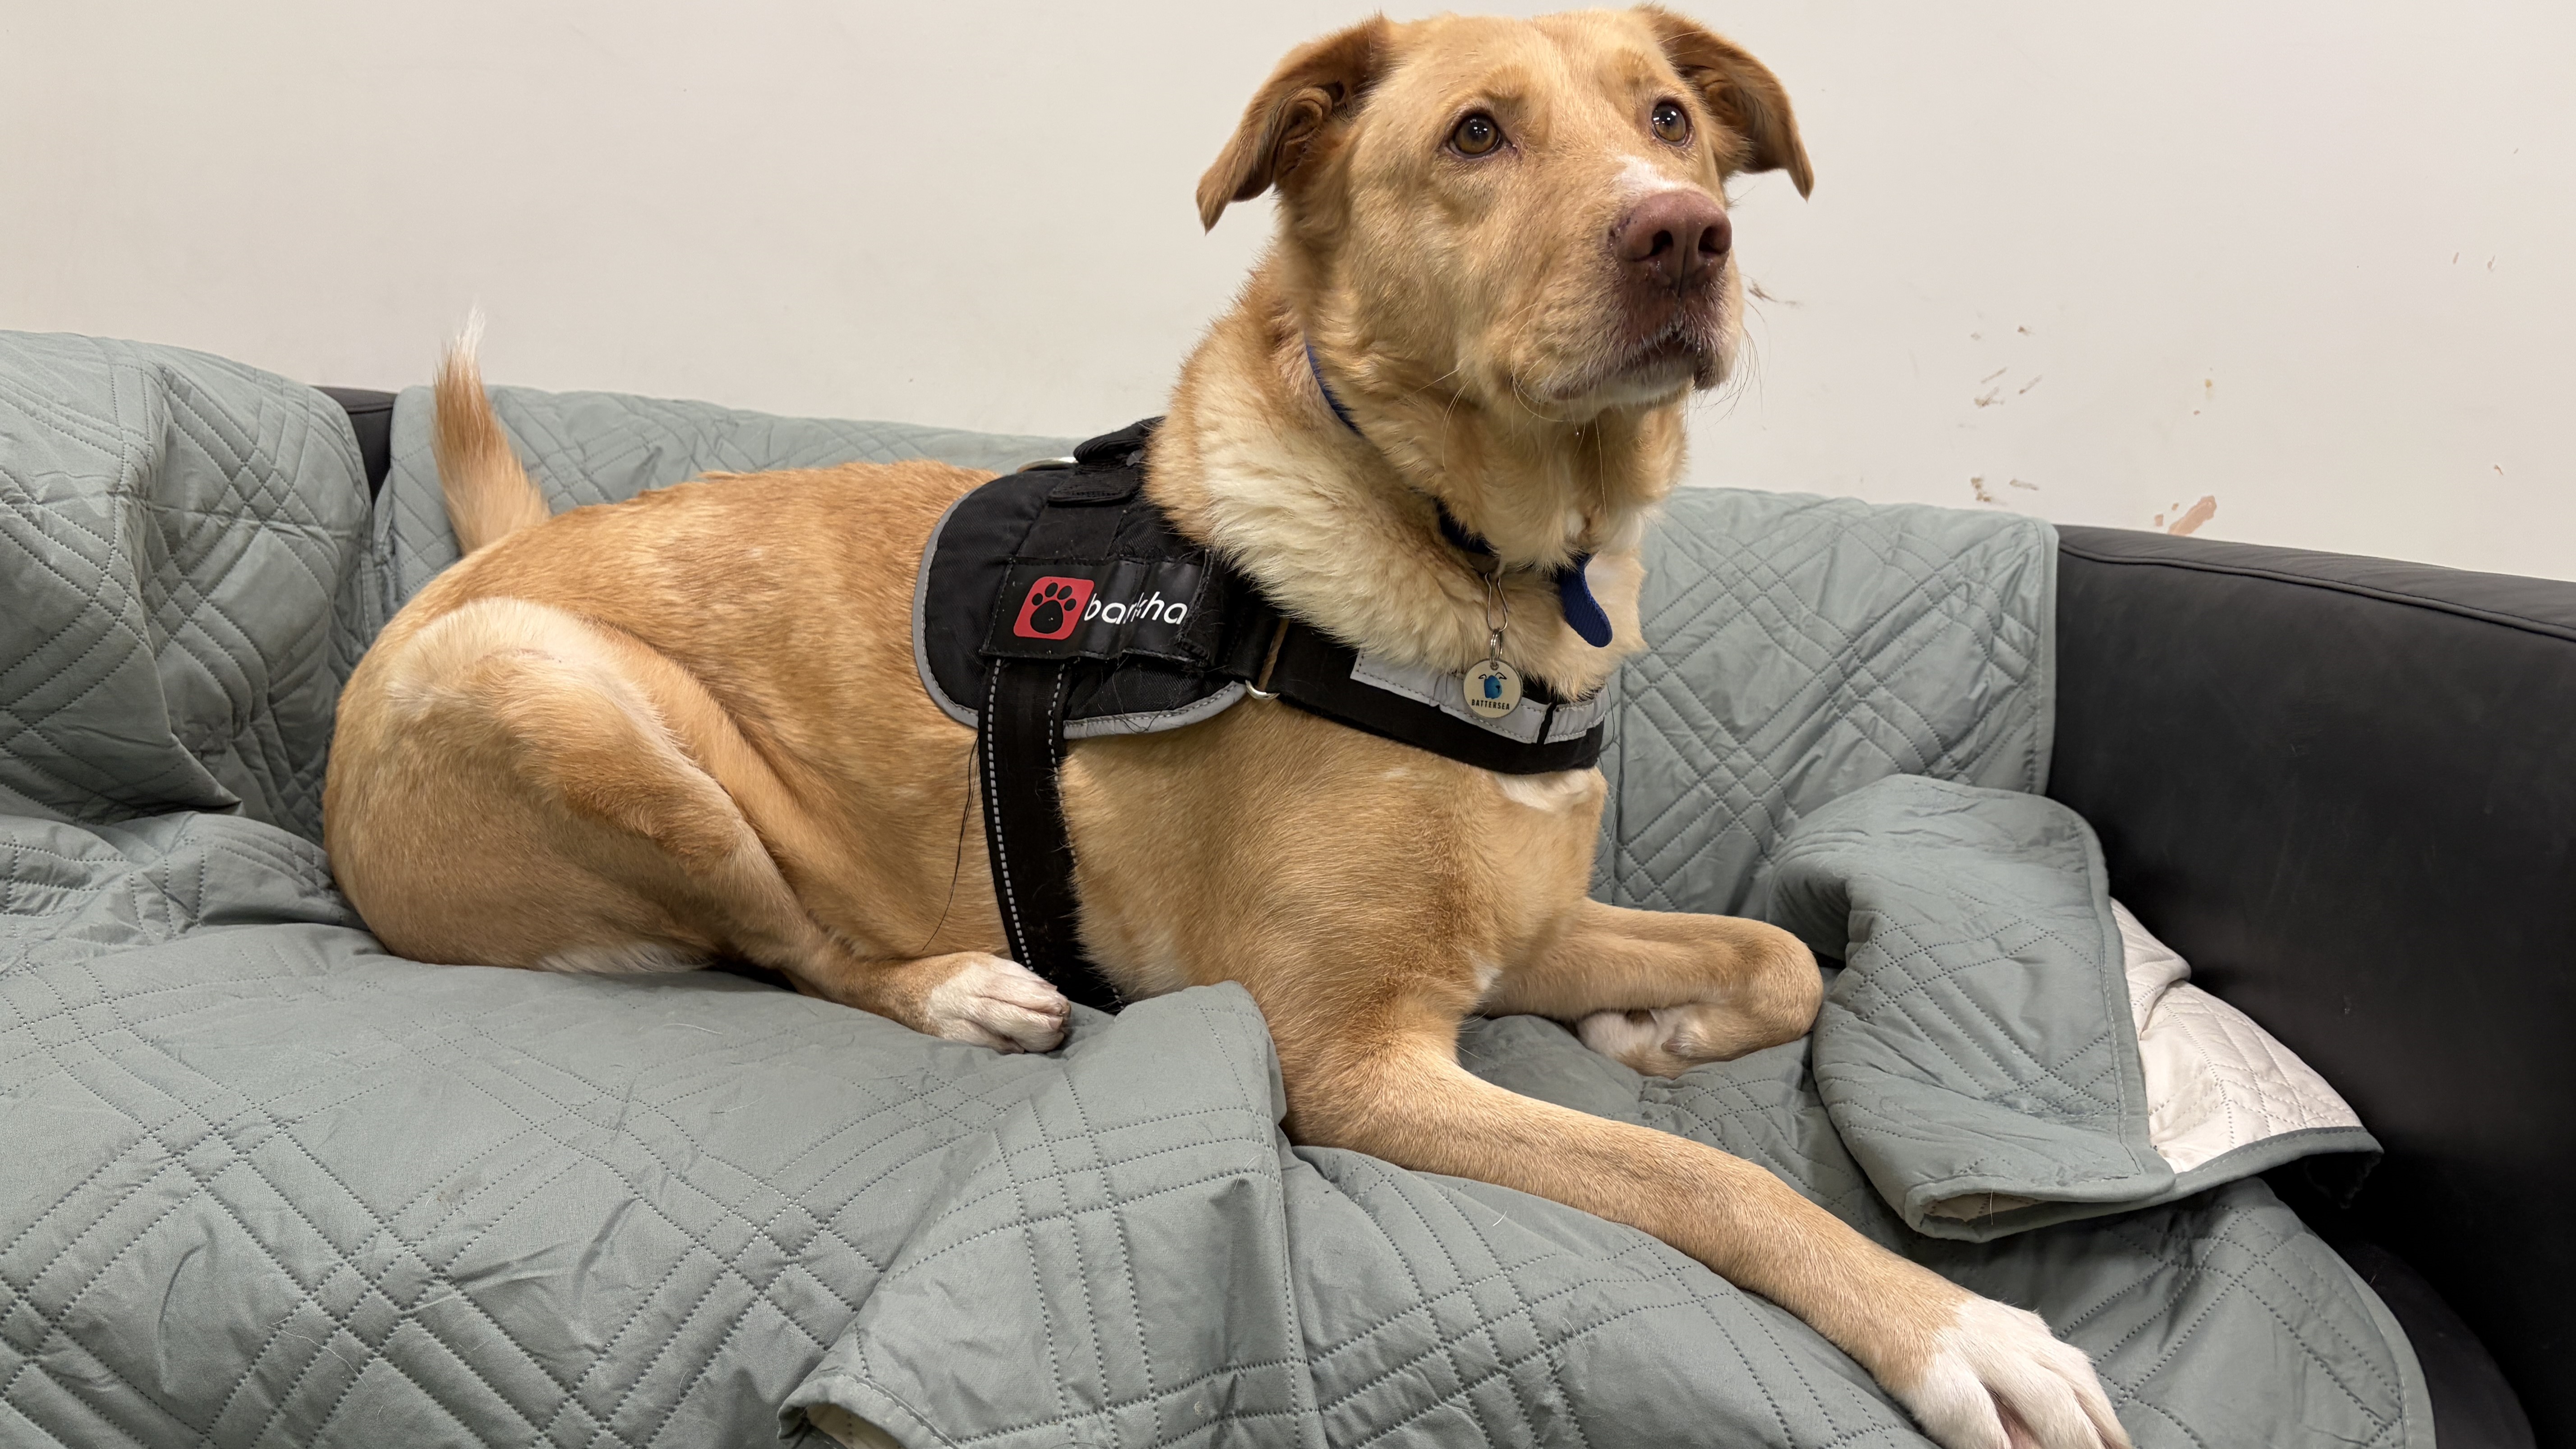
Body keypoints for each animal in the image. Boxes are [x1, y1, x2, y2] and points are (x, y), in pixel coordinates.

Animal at [324, 10, 2130, 1447]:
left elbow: (1783, 960)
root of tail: (460, 572)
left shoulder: (1520, 935)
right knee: (796, 948)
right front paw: (1960, 1333)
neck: (1477, 568)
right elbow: (1710, 1178)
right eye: (1476, 135)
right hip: (577, 710)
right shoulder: (1356, 1065)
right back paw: (968, 991)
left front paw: (1662, 1032)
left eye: (1671, 118)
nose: (1686, 235)